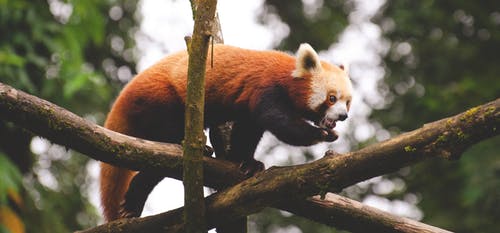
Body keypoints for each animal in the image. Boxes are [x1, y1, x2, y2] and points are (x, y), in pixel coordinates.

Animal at [100, 44, 352, 222]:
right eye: (331, 98)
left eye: (347, 102)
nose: (343, 116)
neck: (288, 75)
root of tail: (126, 92)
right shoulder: (266, 88)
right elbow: (281, 125)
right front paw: (321, 134)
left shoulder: (249, 106)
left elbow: (247, 132)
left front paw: (247, 162)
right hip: (161, 99)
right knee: (164, 150)